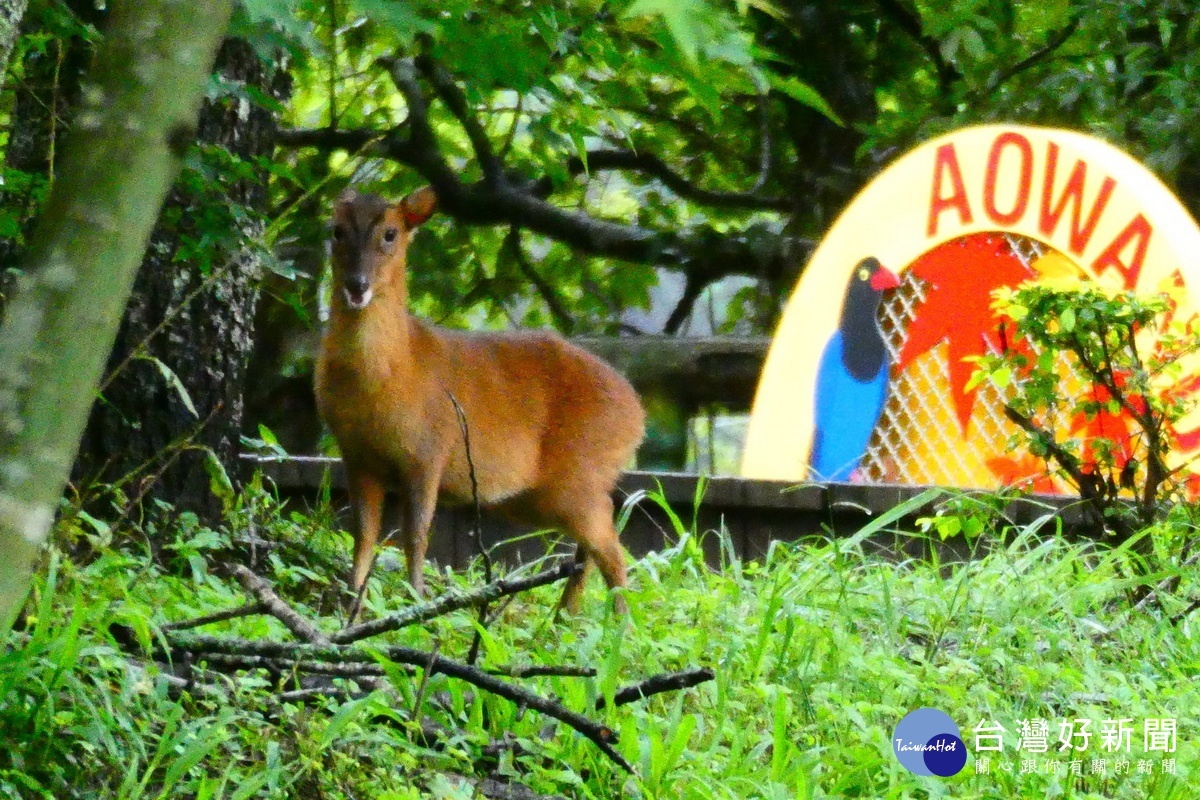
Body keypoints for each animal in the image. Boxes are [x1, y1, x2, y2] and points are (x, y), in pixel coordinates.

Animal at [314, 185, 643, 614]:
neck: (389, 376)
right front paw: (352, 605)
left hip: (581, 471)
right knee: (590, 546)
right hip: (543, 494)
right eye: (336, 230)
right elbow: (363, 536)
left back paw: (618, 622)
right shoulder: (357, 455)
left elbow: (415, 535)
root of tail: (638, 416)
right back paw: (564, 617)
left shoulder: (429, 450)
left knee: (612, 546)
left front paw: (417, 602)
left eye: (390, 234)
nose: (357, 285)